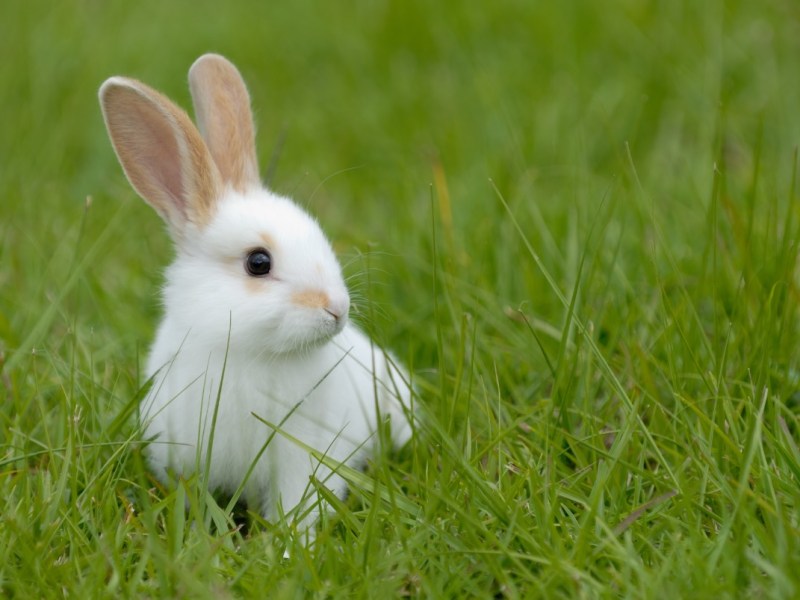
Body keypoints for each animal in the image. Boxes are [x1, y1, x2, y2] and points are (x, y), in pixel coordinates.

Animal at [98, 54, 412, 528]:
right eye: (258, 263)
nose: (337, 309)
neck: (247, 352)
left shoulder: (303, 460)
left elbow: (298, 505)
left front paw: (292, 544)